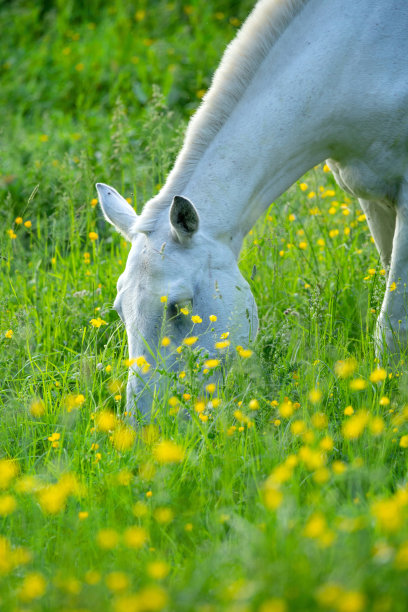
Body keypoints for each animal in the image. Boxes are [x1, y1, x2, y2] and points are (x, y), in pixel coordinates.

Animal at [98, 0, 408, 416]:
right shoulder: (371, 193)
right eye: (120, 310)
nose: (143, 424)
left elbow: (392, 328)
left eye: (179, 307)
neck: (358, 54)